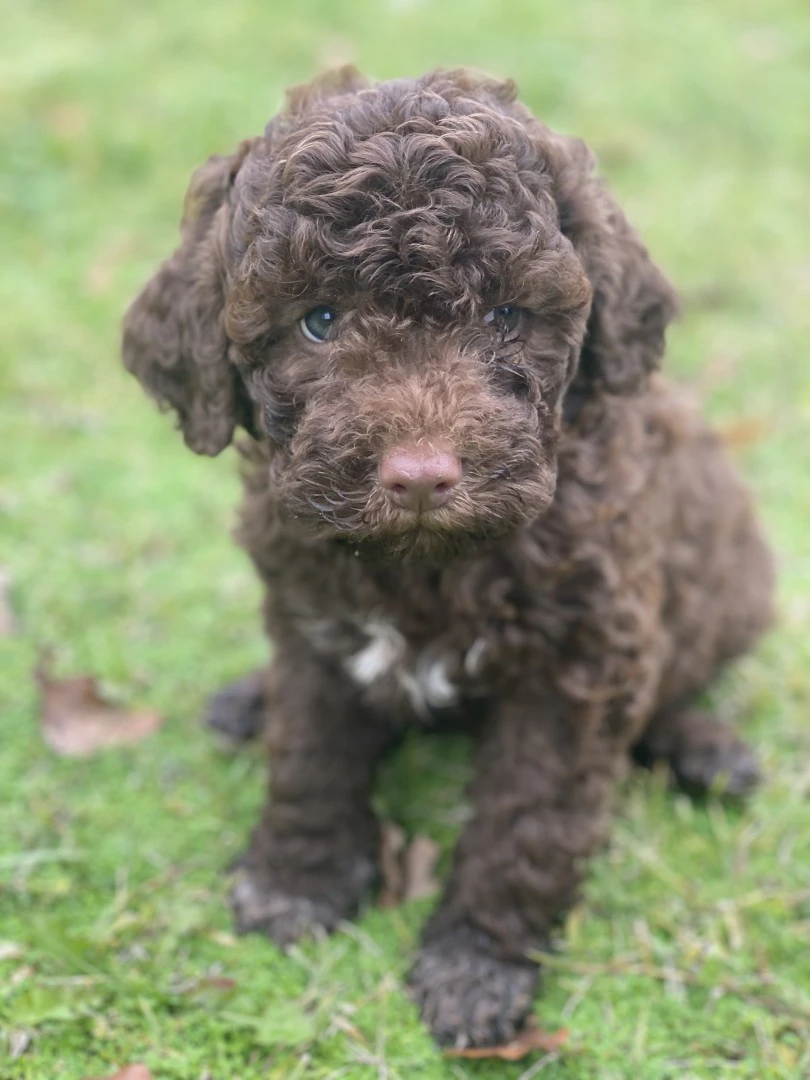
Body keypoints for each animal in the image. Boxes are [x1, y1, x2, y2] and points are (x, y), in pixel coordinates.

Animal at [120, 65, 773, 1045]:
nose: (422, 475)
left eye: (507, 315)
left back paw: (703, 749)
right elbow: (309, 753)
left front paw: (476, 964)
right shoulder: (310, 619)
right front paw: (296, 881)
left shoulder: (579, 661)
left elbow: (527, 818)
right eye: (319, 322)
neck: (427, 562)